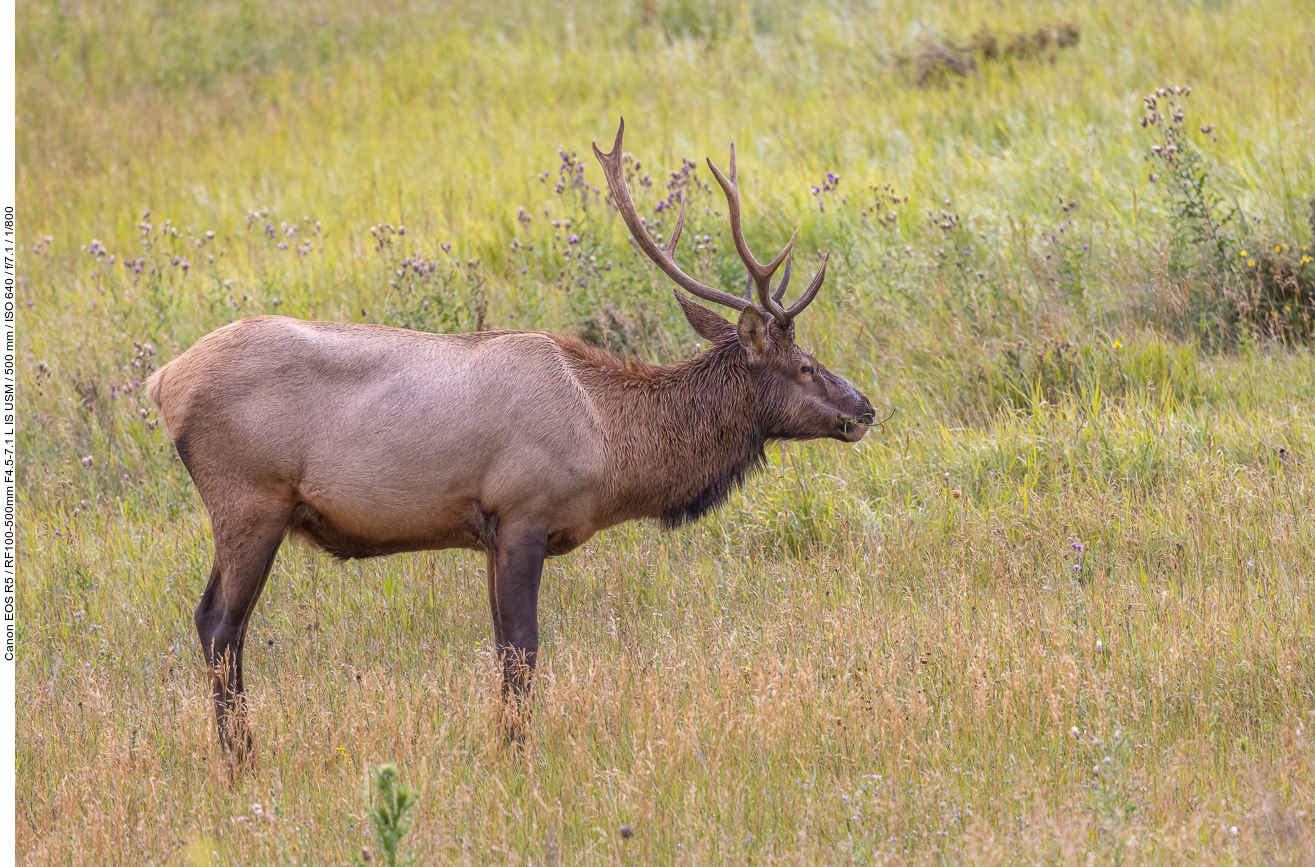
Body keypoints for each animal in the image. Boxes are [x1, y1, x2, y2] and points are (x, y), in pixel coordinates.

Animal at [146, 120, 873, 757]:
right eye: (805, 365)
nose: (863, 408)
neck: (609, 439)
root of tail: (162, 382)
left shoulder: (488, 533)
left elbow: (501, 649)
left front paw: (503, 743)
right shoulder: (523, 512)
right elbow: (523, 650)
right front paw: (518, 755)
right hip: (250, 501)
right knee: (220, 625)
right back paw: (241, 757)